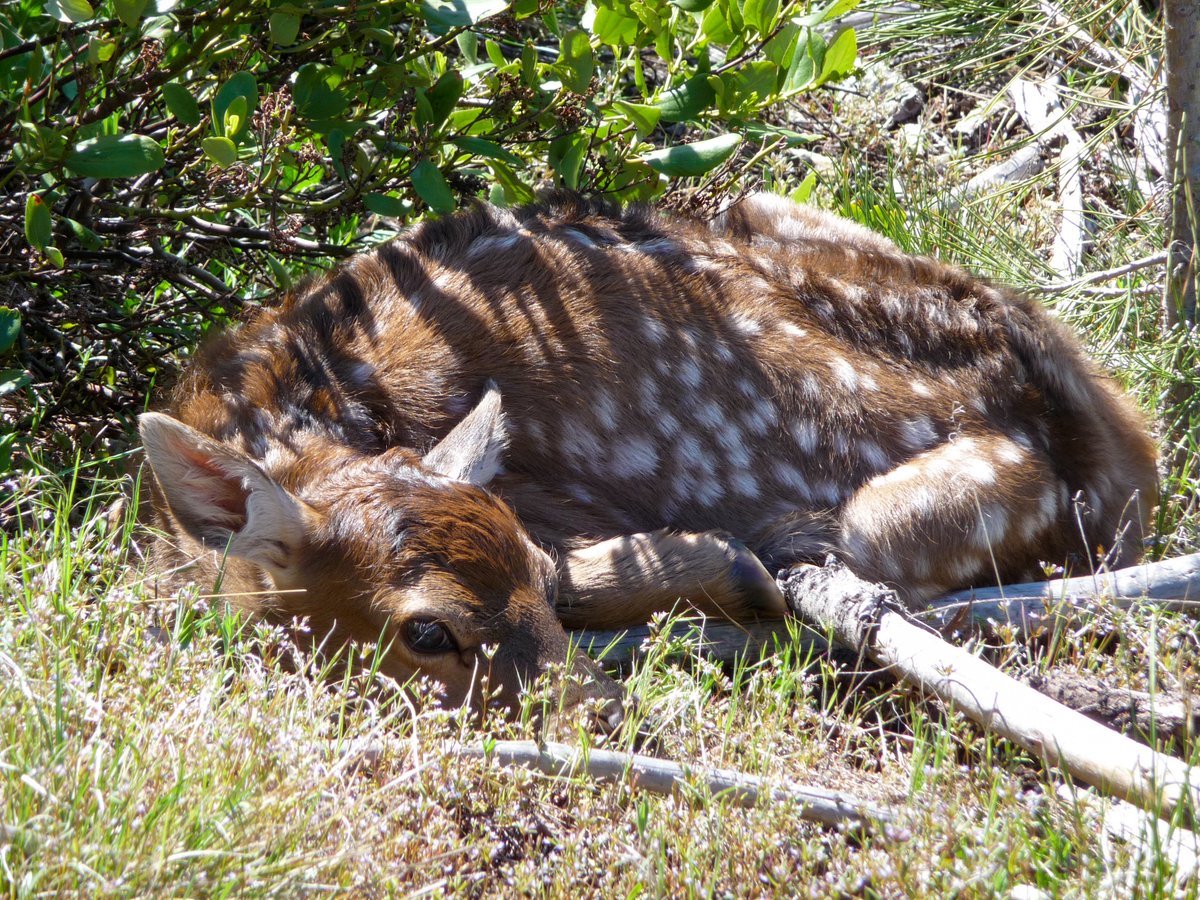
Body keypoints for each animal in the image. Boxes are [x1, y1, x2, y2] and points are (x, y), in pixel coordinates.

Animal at [139, 191, 1158, 725]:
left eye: (532, 581)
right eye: (425, 632)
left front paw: (731, 569)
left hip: (929, 511)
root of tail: (1125, 452)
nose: (602, 716)